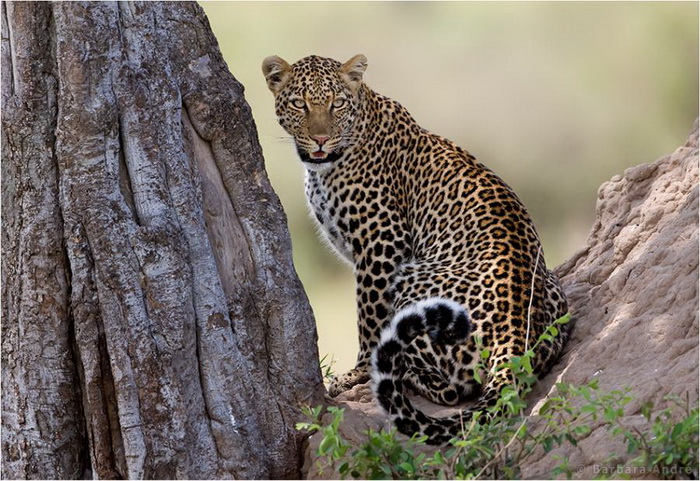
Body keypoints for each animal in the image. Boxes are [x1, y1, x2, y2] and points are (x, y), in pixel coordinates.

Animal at [260, 52, 572, 442]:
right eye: (300, 104)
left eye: (337, 104)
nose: (320, 139)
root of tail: (516, 334)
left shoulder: (381, 241)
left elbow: (369, 316)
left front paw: (356, 373)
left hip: (413, 282)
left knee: (454, 388)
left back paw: (397, 368)